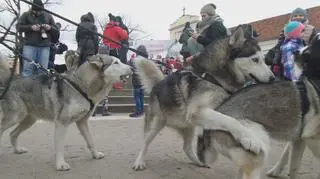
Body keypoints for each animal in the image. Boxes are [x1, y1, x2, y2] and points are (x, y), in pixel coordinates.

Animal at [0, 50, 131, 171]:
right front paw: (60, 164)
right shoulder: (61, 123)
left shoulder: (82, 122)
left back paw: (17, 149)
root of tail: (11, 80)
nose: (132, 67)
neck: (80, 86)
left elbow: (90, 140)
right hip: (16, 116)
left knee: (13, 133)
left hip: (29, 120)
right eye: (116, 62)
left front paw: (95, 154)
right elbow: (59, 146)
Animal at [131, 25, 274, 171]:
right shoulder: (198, 111)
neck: (213, 77)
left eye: (264, 59)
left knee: (187, 147)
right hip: (155, 125)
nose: (273, 78)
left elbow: (232, 119)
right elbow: (230, 121)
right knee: (145, 144)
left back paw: (199, 162)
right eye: (255, 59)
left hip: (188, 126)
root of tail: (158, 84)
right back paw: (139, 162)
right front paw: (250, 139)